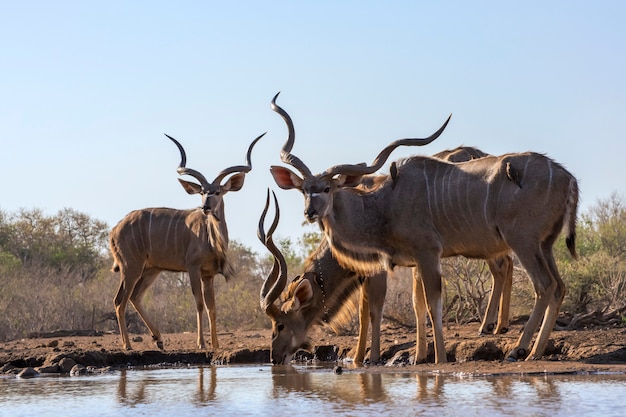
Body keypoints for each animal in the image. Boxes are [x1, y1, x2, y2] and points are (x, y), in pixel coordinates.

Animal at [108, 132, 262, 350]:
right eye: (202, 192)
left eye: (217, 192)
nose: (205, 207)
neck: (212, 240)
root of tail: (115, 229)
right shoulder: (193, 268)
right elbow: (199, 303)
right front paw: (202, 343)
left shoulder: (208, 274)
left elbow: (212, 307)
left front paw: (215, 344)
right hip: (131, 267)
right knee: (120, 300)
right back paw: (128, 345)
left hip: (151, 270)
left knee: (135, 297)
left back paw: (159, 339)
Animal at [270, 93, 576, 360]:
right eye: (304, 190)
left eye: (327, 188)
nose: (310, 212)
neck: (385, 204)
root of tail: (568, 177)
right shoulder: (414, 261)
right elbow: (419, 306)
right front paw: (419, 357)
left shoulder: (425, 254)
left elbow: (427, 306)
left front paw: (432, 359)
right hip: (544, 246)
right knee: (559, 287)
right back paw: (534, 351)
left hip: (522, 241)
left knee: (544, 285)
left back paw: (517, 349)